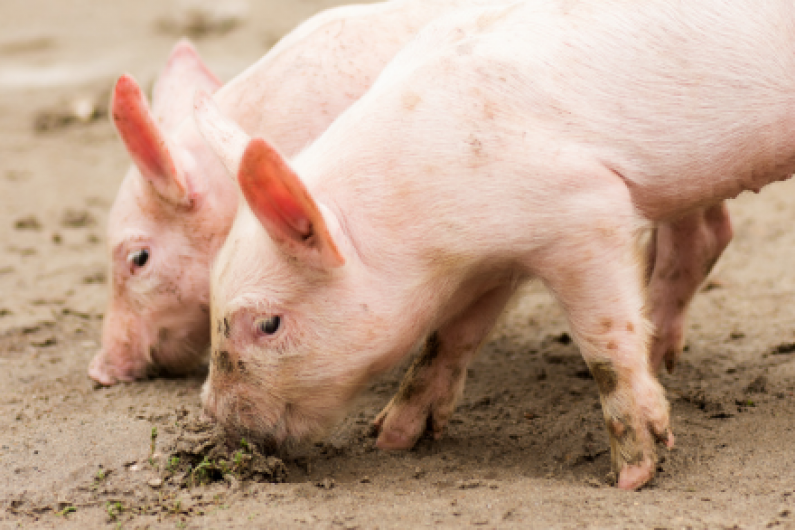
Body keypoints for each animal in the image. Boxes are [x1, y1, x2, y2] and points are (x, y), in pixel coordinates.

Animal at [199, 0, 795, 486]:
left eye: (268, 324)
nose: (211, 416)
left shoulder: (588, 211)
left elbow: (604, 341)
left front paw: (635, 474)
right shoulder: (489, 262)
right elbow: (448, 336)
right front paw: (390, 438)